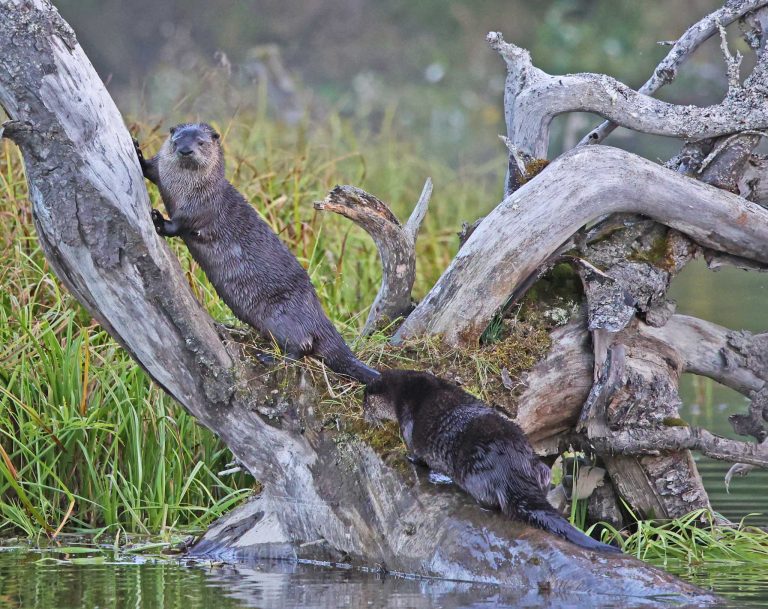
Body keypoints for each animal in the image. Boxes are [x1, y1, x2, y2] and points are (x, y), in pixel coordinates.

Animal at [134, 123, 380, 384]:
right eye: (176, 139)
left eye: (201, 142)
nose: (185, 150)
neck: (185, 188)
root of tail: (317, 314)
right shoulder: (163, 175)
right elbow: (151, 170)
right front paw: (138, 151)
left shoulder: (200, 207)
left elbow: (180, 225)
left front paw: (159, 220)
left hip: (281, 317)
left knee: (302, 345)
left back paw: (270, 358)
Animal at [364, 369, 620, 553]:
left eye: (365, 400)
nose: (364, 414)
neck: (404, 392)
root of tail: (511, 467)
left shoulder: (408, 424)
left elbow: (415, 452)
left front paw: (408, 457)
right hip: (538, 465)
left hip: (474, 473)